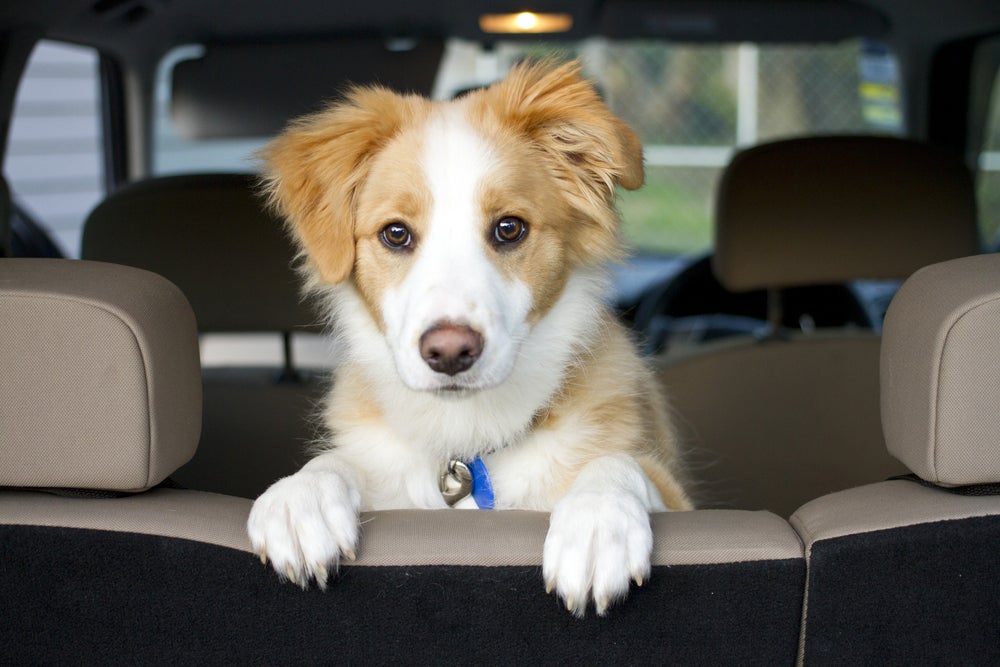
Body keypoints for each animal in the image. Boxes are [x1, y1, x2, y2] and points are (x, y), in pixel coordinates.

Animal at [246, 60, 692, 620]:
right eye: (395, 234)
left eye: (509, 228)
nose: (450, 353)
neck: (465, 442)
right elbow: (339, 463)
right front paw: (299, 498)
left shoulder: (676, 494)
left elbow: (618, 463)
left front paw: (597, 523)